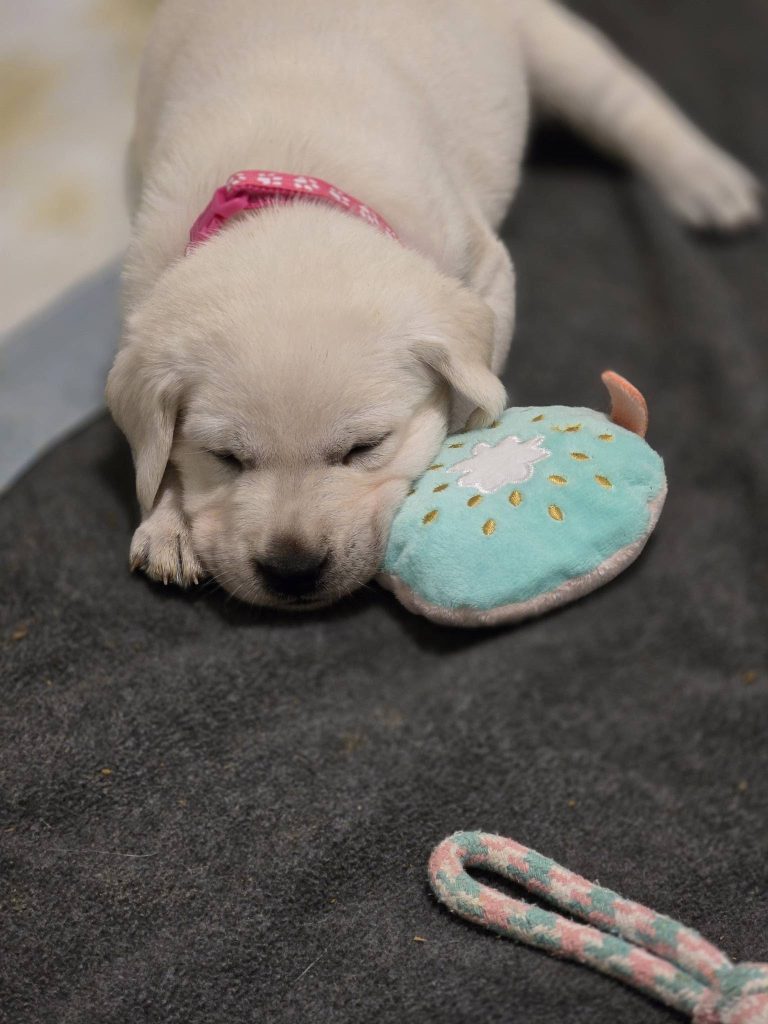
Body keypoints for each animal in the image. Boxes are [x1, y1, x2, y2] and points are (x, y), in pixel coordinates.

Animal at [107, 0, 761, 608]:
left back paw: (708, 180)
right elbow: (153, 452)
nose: (293, 571)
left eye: (365, 448)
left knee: (625, 102)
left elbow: (479, 383)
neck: (290, 196)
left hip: (552, 46)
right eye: (224, 457)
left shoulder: (484, 267)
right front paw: (167, 520)